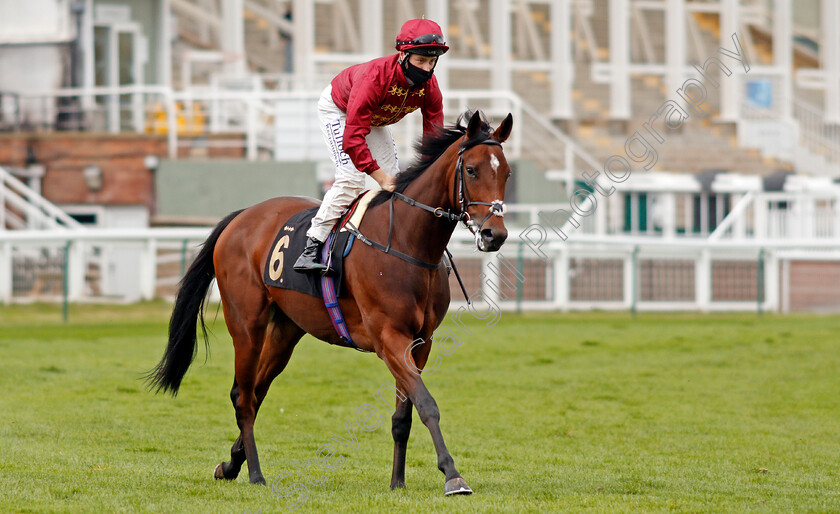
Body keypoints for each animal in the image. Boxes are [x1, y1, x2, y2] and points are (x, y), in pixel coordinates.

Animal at [147, 110, 512, 494]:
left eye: (505, 172)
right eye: (471, 170)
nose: (495, 235)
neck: (407, 241)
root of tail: (242, 215)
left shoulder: (420, 341)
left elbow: (403, 415)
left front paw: (397, 482)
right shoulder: (388, 336)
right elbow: (426, 403)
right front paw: (453, 475)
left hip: (285, 332)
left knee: (257, 391)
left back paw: (230, 465)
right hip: (246, 326)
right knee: (243, 397)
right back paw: (255, 474)